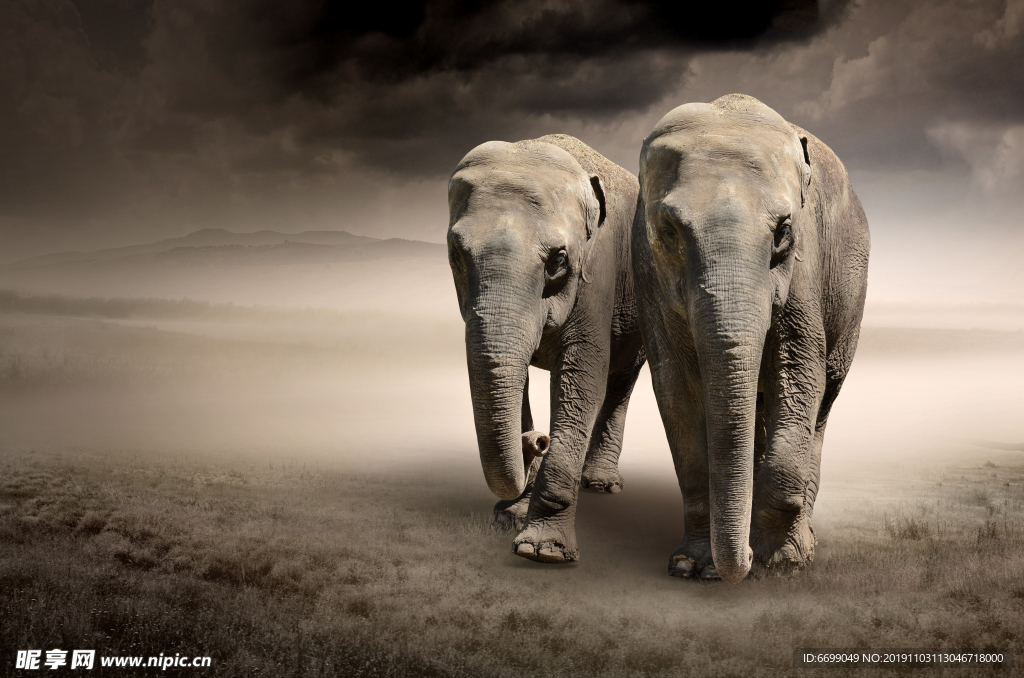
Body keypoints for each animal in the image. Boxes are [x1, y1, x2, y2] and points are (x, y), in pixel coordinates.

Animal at [447, 134, 645, 562]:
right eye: (456, 254)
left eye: (558, 259)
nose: (538, 440)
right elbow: (510, 375)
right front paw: (510, 518)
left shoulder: (598, 274)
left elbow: (582, 379)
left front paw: (541, 551)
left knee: (622, 377)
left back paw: (601, 484)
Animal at [631, 94, 870, 582]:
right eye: (668, 231)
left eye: (783, 231)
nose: (737, 564)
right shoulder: (646, 272)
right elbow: (675, 389)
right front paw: (690, 566)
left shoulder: (804, 268)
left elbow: (800, 373)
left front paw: (777, 562)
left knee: (823, 403)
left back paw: (800, 545)